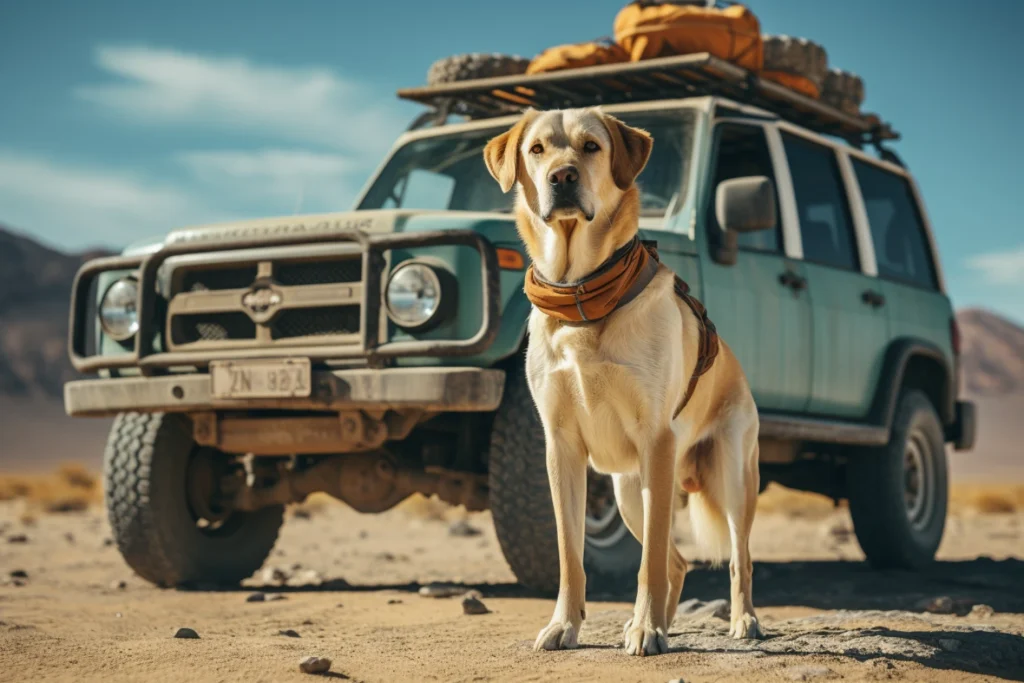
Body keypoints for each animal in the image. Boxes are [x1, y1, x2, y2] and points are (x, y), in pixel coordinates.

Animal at [483, 108, 765, 655]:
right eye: (537, 150)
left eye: (591, 147)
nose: (562, 178)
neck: (581, 295)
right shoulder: (561, 448)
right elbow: (571, 554)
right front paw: (565, 625)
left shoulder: (656, 439)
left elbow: (648, 561)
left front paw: (646, 627)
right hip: (629, 492)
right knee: (678, 561)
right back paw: (667, 621)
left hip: (731, 476)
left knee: (738, 558)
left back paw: (741, 620)